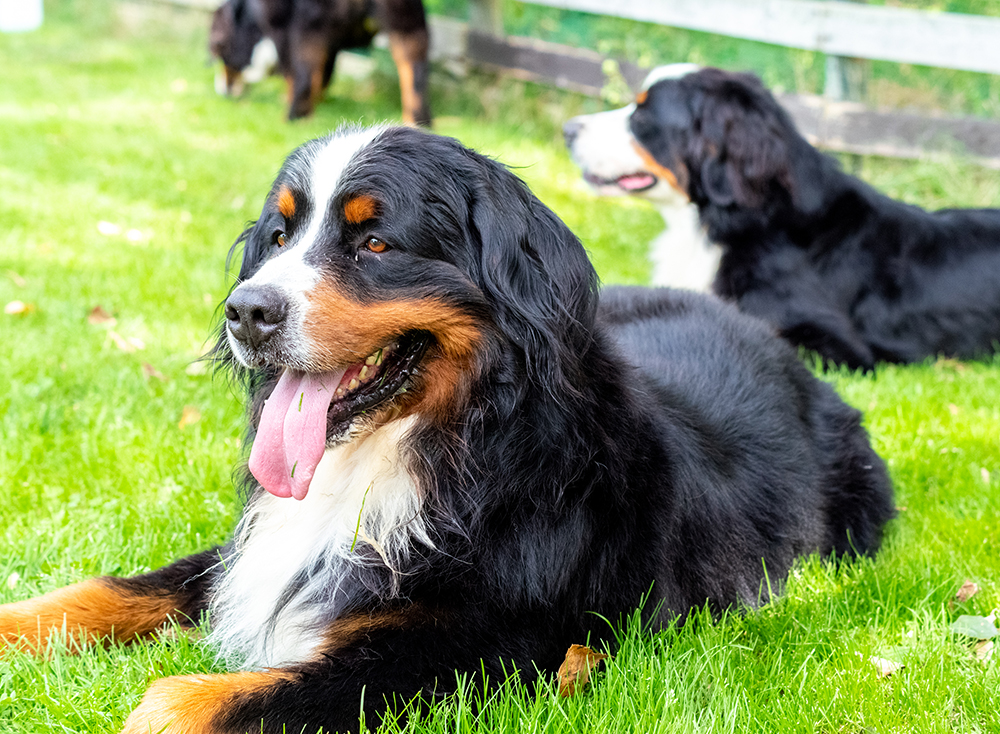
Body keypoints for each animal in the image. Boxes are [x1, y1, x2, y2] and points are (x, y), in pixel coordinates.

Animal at [0, 126, 892, 734]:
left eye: (374, 241)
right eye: (280, 236)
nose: (246, 311)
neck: (426, 448)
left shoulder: (487, 644)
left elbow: (183, 702)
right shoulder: (265, 550)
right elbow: (114, 589)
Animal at [211, 0, 430, 123]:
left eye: (219, 49)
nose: (222, 90)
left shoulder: (282, 28)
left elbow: (293, 76)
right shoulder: (331, 45)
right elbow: (323, 76)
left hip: (306, 26)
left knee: (303, 77)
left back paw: (292, 118)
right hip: (407, 24)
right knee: (416, 76)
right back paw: (419, 121)